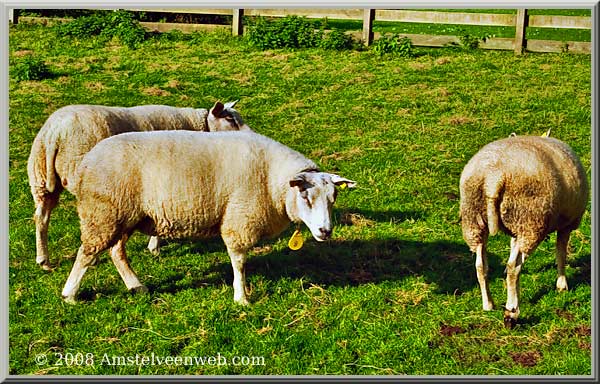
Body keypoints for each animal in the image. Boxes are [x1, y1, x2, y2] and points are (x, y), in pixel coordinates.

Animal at [27, 101, 248, 270]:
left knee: (41, 217)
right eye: (230, 119)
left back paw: (43, 260)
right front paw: (155, 246)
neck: (199, 124)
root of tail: (54, 134)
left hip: (40, 179)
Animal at [59, 130, 356, 304]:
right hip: (103, 212)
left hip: (125, 215)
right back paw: (70, 294)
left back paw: (136, 286)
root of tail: (86, 161)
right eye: (306, 197)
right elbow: (239, 263)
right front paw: (241, 298)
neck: (274, 181)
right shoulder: (239, 220)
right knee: (88, 252)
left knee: (116, 252)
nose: (325, 231)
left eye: (333, 198)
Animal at [462, 135, 588, 328]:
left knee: (480, 264)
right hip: (531, 220)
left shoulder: (516, 231)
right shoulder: (567, 224)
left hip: (475, 220)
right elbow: (561, 253)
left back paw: (488, 304)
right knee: (514, 267)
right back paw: (511, 312)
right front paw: (562, 285)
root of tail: (493, 178)